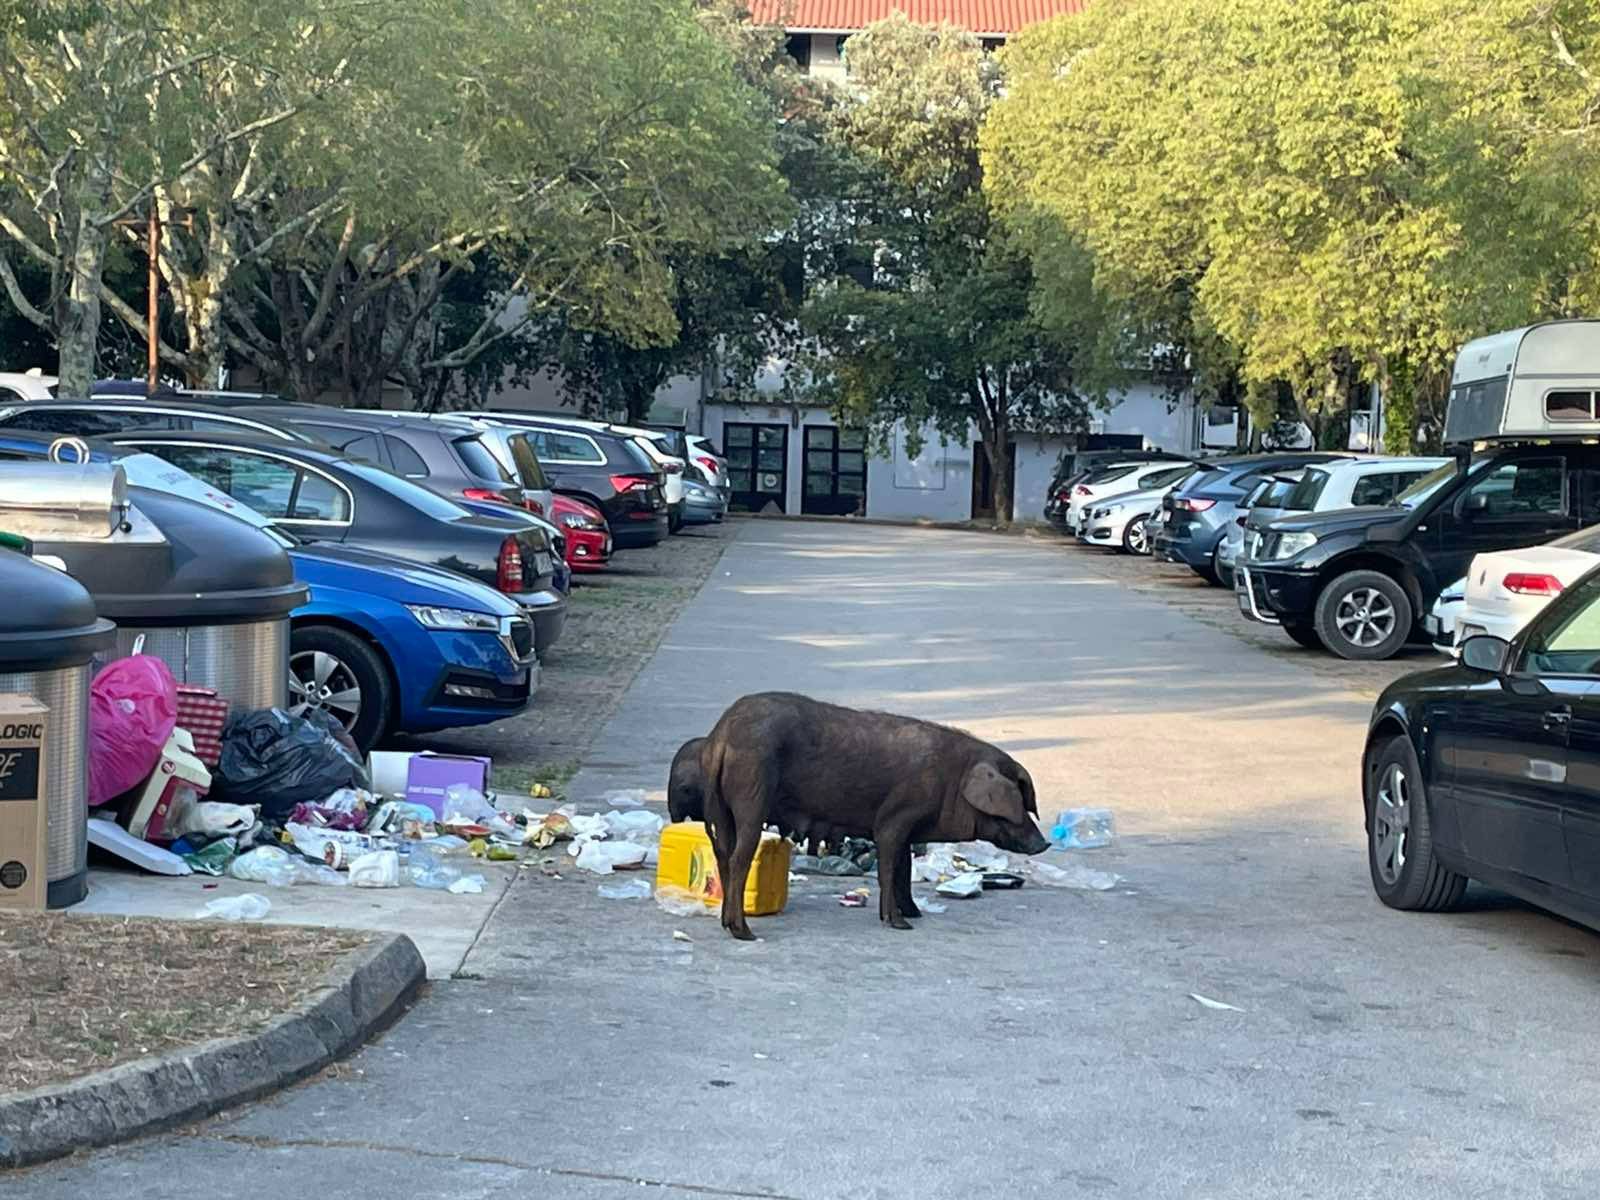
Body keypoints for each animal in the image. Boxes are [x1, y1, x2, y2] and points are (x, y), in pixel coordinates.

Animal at [700, 694, 1049, 940]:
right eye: (1018, 802)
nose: (1044, 843)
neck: (953, 778)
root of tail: (722, 735)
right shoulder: (894, 819)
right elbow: (889, 869)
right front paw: (901, 924)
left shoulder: (908, 831)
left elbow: (903, 871)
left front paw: (916, 914)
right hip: (751, 794)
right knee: (740, 857)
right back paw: (744, 933)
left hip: (723, 807)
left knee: (723, 854)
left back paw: (726, 924)